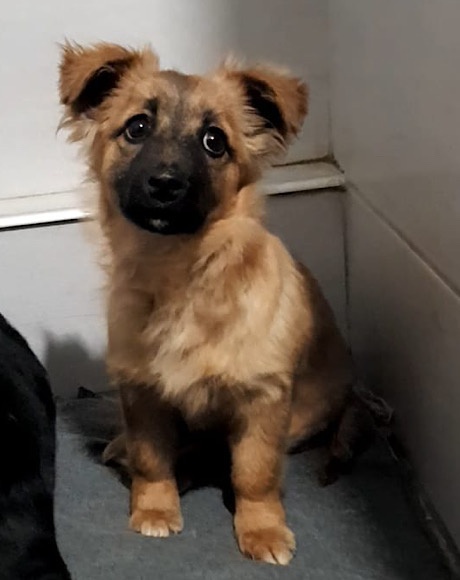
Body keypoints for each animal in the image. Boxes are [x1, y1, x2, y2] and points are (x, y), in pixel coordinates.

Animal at [58, 42, 370, 565]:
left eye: (214, 142)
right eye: (136, 128)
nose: (166, 183)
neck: (180, 276)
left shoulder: (263, 400)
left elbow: (253, 473)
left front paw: (262, 529)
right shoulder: (141, 393)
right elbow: (152, 459)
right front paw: (155, 508)